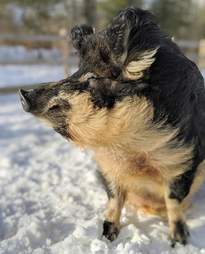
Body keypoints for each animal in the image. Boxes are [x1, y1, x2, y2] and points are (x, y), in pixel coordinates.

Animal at [20, 77, 205, 246]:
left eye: (75, 83)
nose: (22, 92)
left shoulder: (181, 160)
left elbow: (173, 200)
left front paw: (179, 242)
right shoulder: (108, 168)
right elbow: (114, 200)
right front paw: (106, 238)